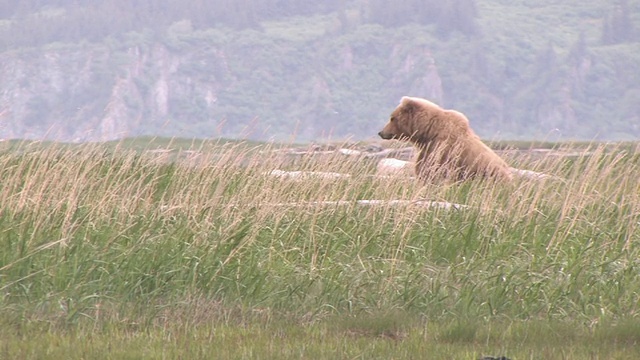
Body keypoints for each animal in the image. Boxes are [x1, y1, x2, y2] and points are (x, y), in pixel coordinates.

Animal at [378, 96, 512, 181]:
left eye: (392, 118)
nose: (381, 132)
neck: (428, 132)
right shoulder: (428, 147)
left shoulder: (442, 148)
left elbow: (431, 169)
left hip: (489, 171)